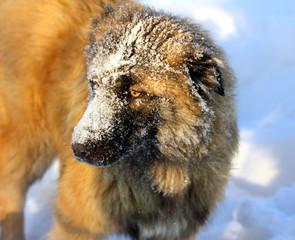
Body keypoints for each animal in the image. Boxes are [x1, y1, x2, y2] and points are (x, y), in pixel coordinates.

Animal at [0, 0, 239, 239]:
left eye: (135, 93)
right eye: (94, 84)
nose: (78, 149)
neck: (161, 173)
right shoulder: (76, 225)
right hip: (28, 148)